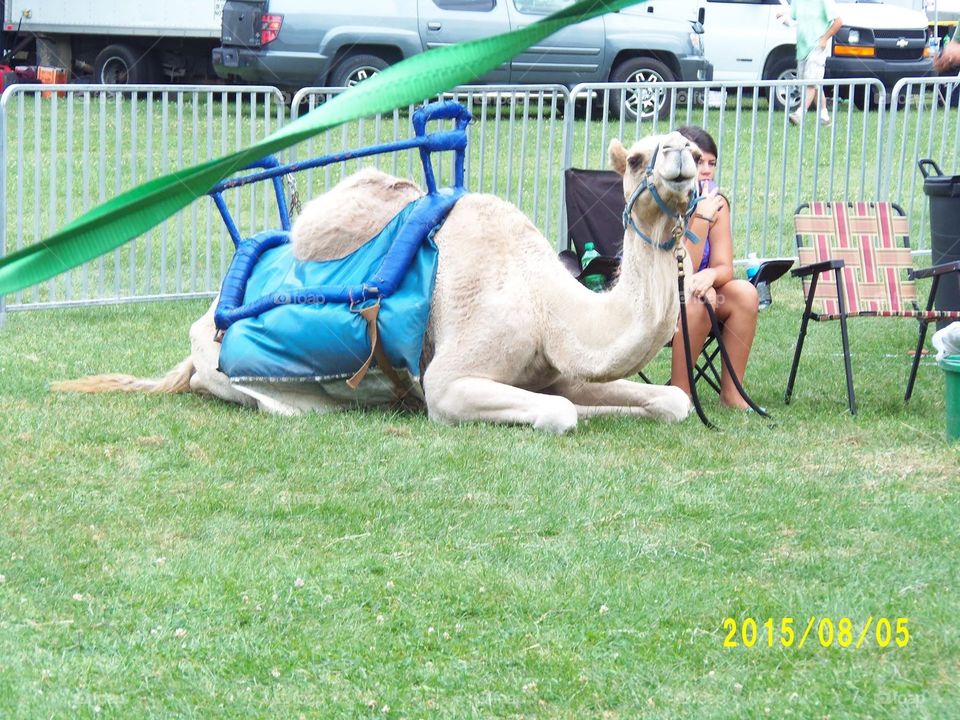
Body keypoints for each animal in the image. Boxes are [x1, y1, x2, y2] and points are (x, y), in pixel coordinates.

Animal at [53, 130, 699, 433]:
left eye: (690, 146)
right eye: (637, 158)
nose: (681, 158)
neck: (550, 306)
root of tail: (196, 335)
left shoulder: (554, 369)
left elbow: (670, 401)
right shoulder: (450, 382)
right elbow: (559, 413)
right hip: (237, 377)